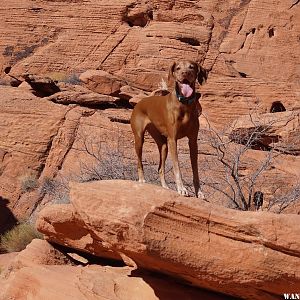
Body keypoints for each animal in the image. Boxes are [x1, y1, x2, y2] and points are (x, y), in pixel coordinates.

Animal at [130, 61, 207, 197]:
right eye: (178, 68)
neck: (184, 104)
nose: (185, 73)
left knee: (160, 168)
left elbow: (195, 170)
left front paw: (199, 192)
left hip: (163, 145)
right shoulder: (173, 140)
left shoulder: (193, 141)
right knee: (139, 163)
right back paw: (142, 180)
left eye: (192, 67)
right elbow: (177, 167)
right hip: (139, 138)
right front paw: (181, 189)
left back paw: (165, 187)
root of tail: (141, 102)